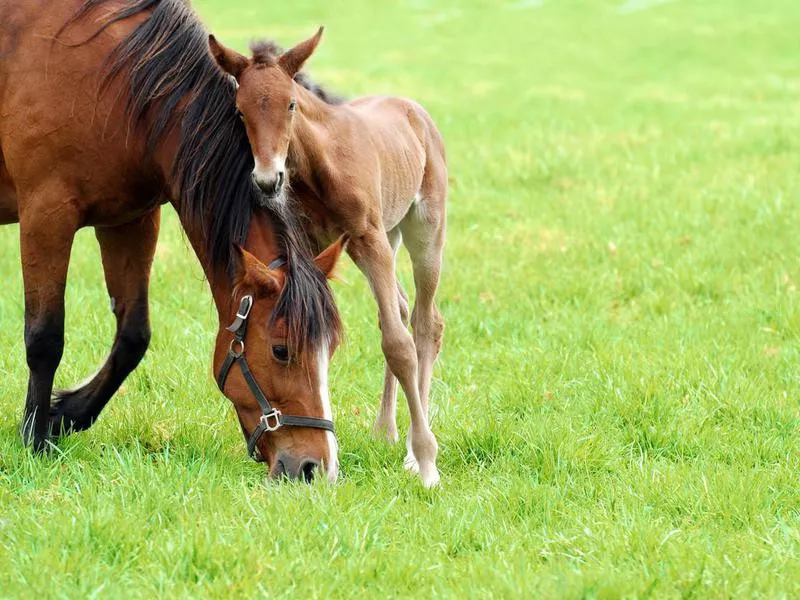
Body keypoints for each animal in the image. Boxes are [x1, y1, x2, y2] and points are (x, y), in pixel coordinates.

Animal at [0, 1, 346, 482]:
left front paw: (65, 414)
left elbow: (133, 336)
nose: (317, 468)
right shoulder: (46, 215)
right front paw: (35, 438)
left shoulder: (131, 220)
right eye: (281, 350)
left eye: (330, 349)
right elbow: (44, 337)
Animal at [209, 27, 446, 488]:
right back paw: (385, 430)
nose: (267, 180)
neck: (322, 160)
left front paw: (427, 464)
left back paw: (413, 450)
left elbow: (399, 345)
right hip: (381, 239)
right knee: (401, 308)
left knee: (425, 322)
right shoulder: (319, 243)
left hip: (422, 229)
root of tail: (415, 111)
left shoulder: (369, 236)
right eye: (239, 111)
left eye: (291, 104)